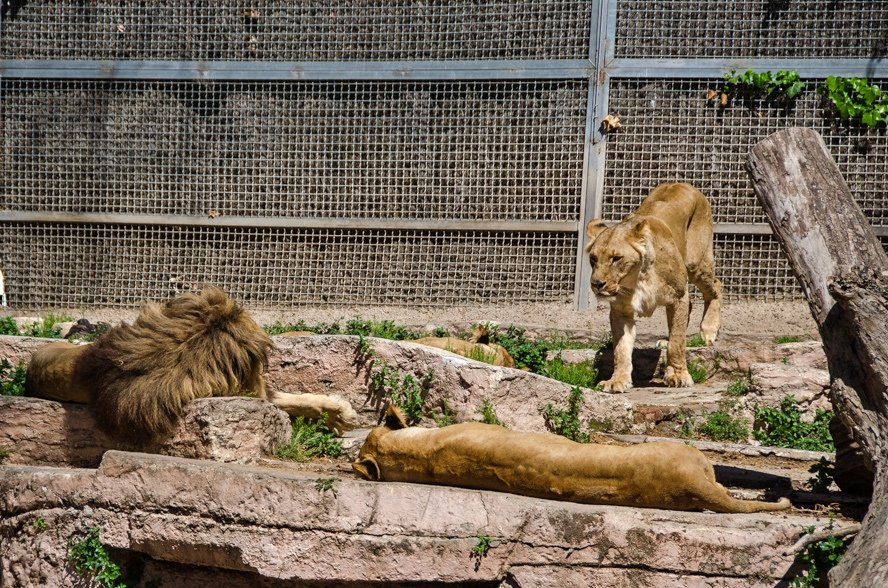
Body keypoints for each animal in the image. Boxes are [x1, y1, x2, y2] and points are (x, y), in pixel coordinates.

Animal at [584, 183, 720, 390]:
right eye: (593, 259)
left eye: (616, 258)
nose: (597, 284)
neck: (637, 278)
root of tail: (682, 183)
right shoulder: (620, 310)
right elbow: (620, 349)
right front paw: (617, 380)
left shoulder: (678, 296)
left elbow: (677, 343)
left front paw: (679, 376)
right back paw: (666, 340)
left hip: (697, 263)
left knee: (716, 286)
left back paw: (708, 331)